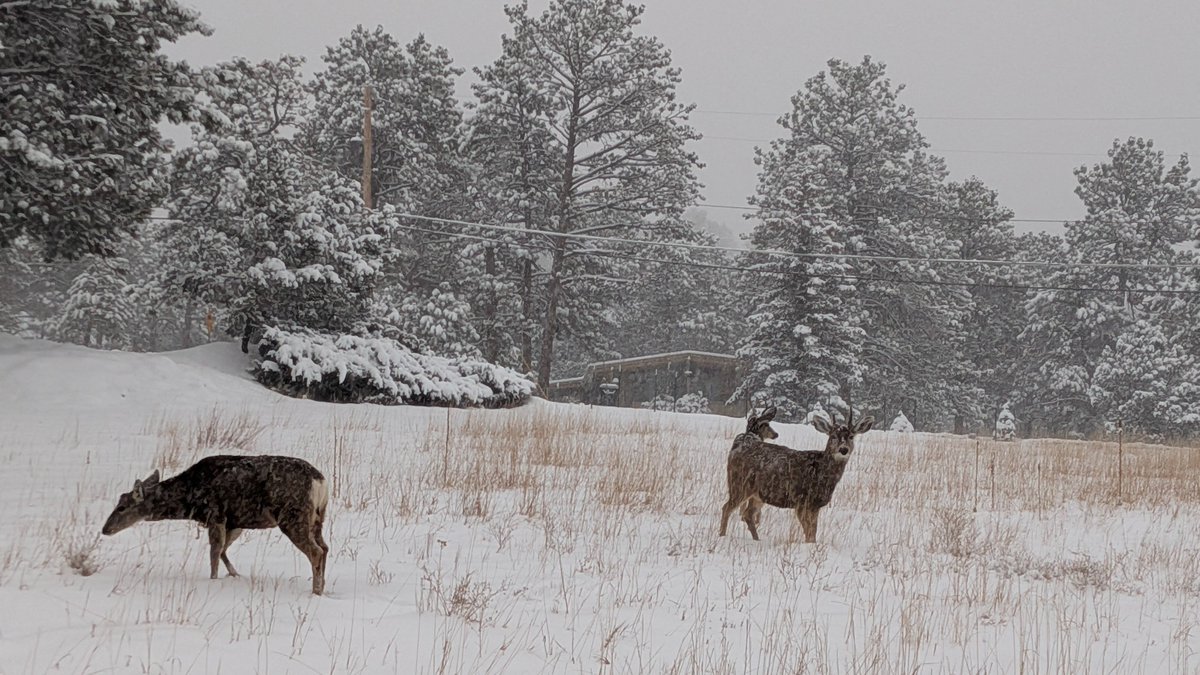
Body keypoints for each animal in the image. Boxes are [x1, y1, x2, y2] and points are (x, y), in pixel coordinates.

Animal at [102, 455, 330, 595]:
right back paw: (322, 587)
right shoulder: (235, 522)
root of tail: (320, 482)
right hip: (317, 519)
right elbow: (222, 551)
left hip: (293, 516)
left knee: (316, 551)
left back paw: (315, 591)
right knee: (325, 548)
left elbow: (214, 552)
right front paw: (234, 574)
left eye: (122, 506)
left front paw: (213, 580)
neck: (189, 498)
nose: (105, 529)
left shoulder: (216, 514)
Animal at [719, 407, 873, 543]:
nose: (843, 449)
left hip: (758, 494)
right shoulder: (801, 501)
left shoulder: (815, 505)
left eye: (851, 436)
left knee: (748, 514)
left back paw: (757, 540)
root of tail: (738, 445)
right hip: (739, 484)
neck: (820, 474)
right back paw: (722, 535)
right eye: (833, 436)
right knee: (727, 508)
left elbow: (813, 532)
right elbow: (809, 533)